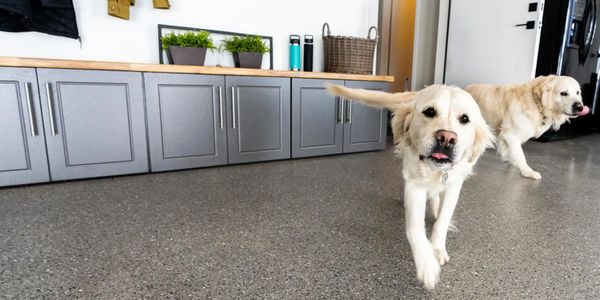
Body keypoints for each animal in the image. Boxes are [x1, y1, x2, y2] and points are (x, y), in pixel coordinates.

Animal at [328, 83, 492, 290]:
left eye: (465, 119)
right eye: (429, 112)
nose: (446, 138)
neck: (434, 170)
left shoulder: (454, 185)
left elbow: (442, 221)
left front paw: (437, 248)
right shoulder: (415, 186)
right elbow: (414, 229)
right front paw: (427, 264)